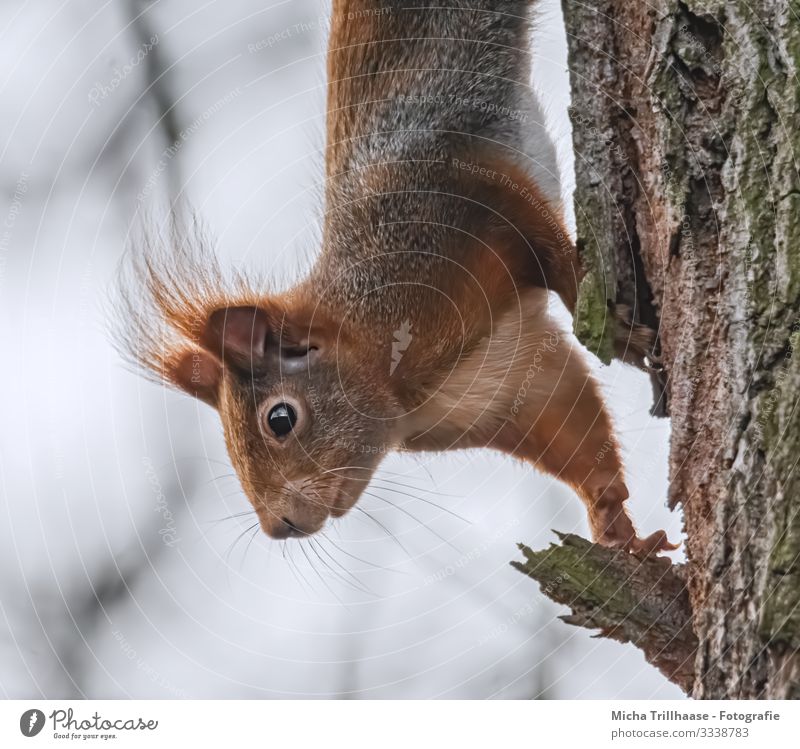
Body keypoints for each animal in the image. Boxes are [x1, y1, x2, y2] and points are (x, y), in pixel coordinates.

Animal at [122, 0, 680, 552]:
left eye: (281, 419)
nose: (278, 527)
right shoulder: (507, 386)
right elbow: (573, 428)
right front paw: (613, 522)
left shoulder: (457, 198)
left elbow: (552, 251)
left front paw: (617, 330)